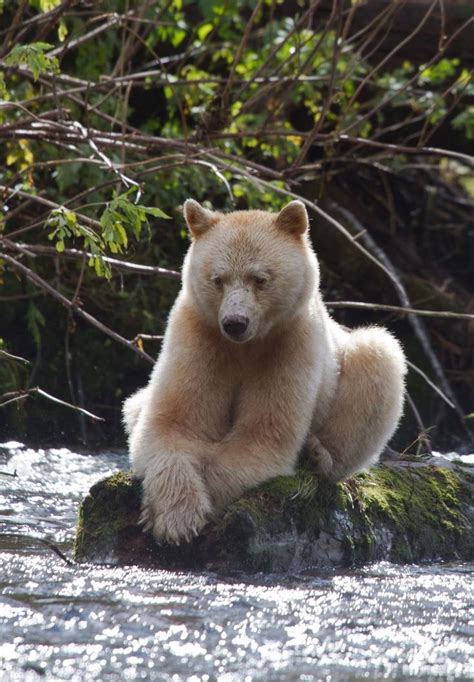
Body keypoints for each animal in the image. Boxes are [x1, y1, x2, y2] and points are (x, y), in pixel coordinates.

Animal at [123, 197, 408, 540]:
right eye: (218, 279)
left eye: (260, 278)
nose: (235, 323)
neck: (246, 345)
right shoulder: (199, 337)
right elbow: (173, 424)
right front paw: (176, 518)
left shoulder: (289, 346)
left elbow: (263, 435)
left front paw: (204, 501)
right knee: (134, 406)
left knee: (377, 358)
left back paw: (318, 455)